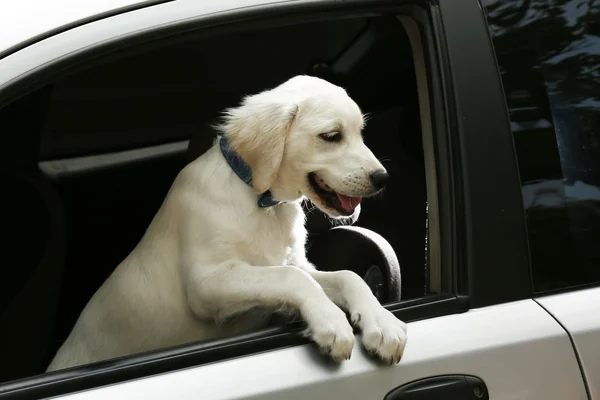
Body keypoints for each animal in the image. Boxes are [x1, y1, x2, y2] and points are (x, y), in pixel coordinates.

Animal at [47, 74, 408, 372]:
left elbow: (347, 276)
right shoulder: (207, 283)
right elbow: (292, 278)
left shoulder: (295, 264)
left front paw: (382, 322)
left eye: (360, 133)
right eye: (331, 136)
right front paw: (331, 322)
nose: (383, 178)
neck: (262, 202)